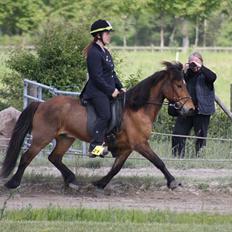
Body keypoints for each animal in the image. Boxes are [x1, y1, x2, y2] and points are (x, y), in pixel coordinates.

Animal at [0, 61, 195, 190]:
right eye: (179, 85)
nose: (191, 109)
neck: (136, 109)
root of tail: (41, 104)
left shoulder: (127, 147)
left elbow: (116, 168)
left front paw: (100, 183)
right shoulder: (140, 144)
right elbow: (158, 162)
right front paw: (172, 182)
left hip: (65, 138)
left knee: (54, 157)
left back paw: (71, 180)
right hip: (42, 138)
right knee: (26, 157)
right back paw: (12, 183)